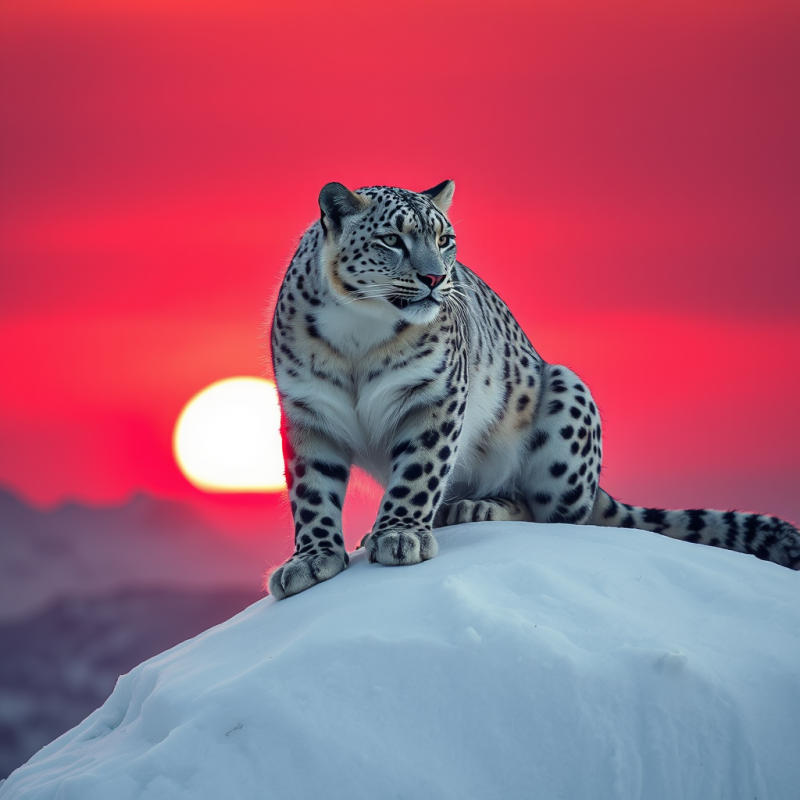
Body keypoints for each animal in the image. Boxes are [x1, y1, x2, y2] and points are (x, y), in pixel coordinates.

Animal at [267, 180, 800, 599]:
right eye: (391, 239)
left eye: (445, 239)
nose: (435, 277)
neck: (358, 336)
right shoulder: (308, 412)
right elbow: (312, 490)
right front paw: (311, 560)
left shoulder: (433, 395)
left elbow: (419, 471)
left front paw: (400, 535)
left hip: (565, 406)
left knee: (551, 515)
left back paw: (472, 506)